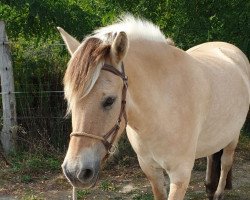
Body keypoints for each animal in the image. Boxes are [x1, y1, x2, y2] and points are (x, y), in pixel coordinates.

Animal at [57, 14, 249, 199]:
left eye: (109, 100)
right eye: (70, 100)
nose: (74, 172)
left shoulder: (180, 175)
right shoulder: (150, 169)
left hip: (233, 136)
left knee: (225, 163)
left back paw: (217, 193)